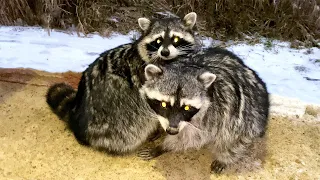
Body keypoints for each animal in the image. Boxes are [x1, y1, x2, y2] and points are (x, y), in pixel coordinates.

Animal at [46, 11, 199, 155]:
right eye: (158, 40)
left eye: (176, 39)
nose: (165, 52)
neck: (168, 61)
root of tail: (76, 115)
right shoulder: (146, 76)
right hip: (117, 117)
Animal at [139, 47, 270, 174]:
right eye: (164, 104)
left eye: (186, 107)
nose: (172, 130)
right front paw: (158, 129)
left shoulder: (213, 113)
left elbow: (192, 137)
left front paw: (163, 147)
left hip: (248, 117)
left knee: (233, 138)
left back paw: (225, 157)